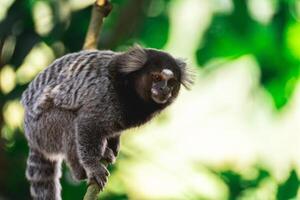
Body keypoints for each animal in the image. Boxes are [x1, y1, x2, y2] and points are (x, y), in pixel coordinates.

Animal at [21, 45, 195, 200]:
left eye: (171, 81)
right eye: (157, 78)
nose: (164, 89)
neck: (129, 88)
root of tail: (30, 137)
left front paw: (114, 140)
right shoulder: (103, 97)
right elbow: (86, 124)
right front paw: (93, 167)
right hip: (44, 128)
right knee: (69, 123)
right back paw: (80, 170)